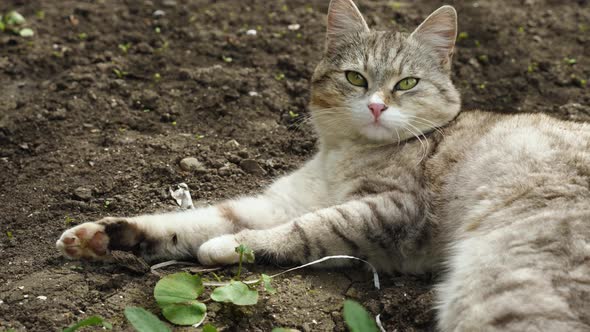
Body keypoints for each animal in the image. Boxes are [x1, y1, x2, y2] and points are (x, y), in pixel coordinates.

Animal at [56, 0, 590, 330]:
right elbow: (195, 220)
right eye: (355, 78)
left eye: (407, 84)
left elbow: (304, 229)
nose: (375, 106)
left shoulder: (390, 212)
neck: (344, 155)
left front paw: (229, 247)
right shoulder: (280, 200)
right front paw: (105, 236)